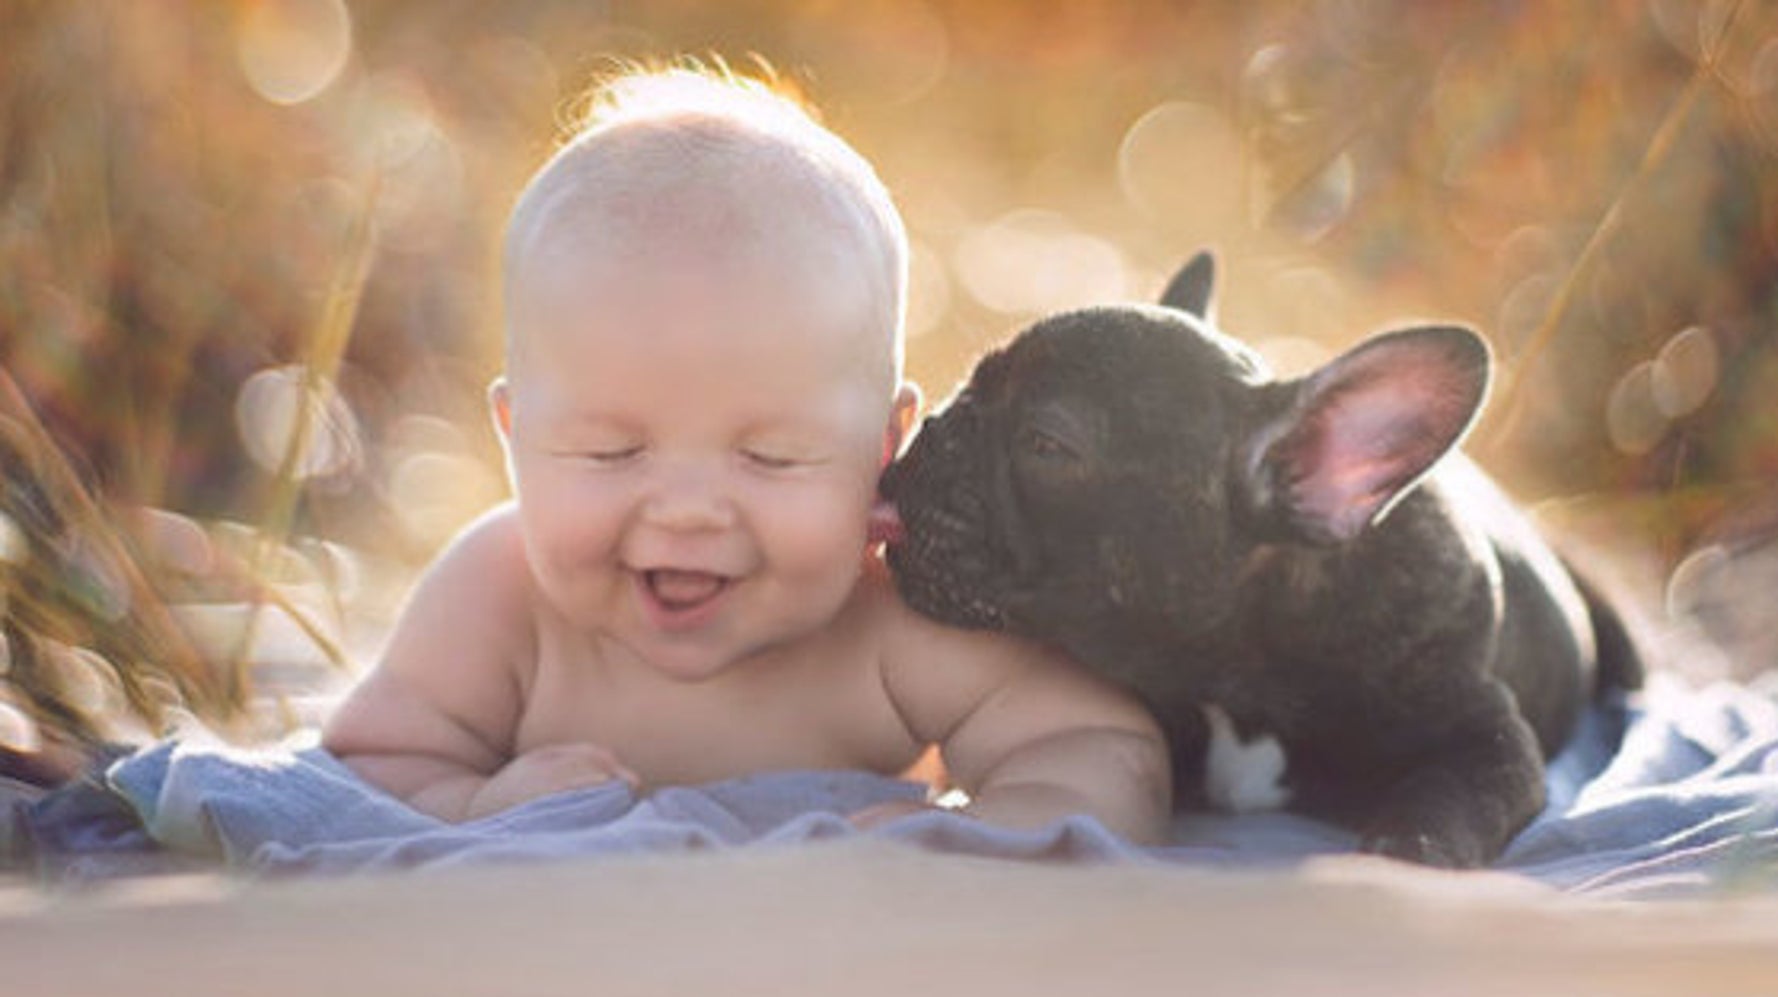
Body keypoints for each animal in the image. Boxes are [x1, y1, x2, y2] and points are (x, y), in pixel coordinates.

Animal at [881, 254, 1642, 863]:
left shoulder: (1488, 738)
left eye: (1045, 444)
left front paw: (1404, 852)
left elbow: (1451, 798)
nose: (932, 427)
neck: (1240, 672)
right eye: (970, 384)